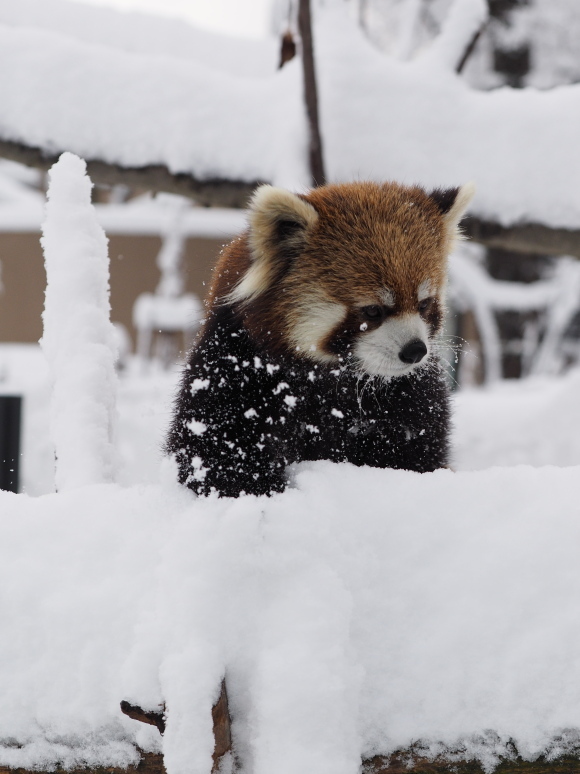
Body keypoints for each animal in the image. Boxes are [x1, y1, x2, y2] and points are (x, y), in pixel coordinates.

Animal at [165, 180, 474, 498]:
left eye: (424, 305)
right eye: (373, 310)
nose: (414, 351)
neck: (333, 379)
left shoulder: (412, 392)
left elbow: (417, 446)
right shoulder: (235, 361)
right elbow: (213, 448)